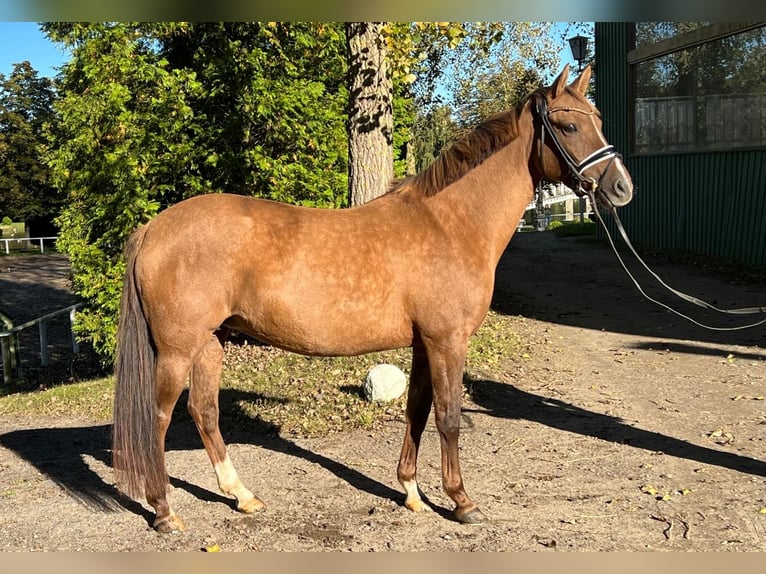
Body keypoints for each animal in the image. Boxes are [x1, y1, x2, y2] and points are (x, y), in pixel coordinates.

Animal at [111, 65, 632, 532]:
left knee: (204, 412)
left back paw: (242, 497)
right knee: (158, 418)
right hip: (177, 349)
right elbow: (448, 417)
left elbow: (417, 410)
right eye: (568, 126)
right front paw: (461, 502)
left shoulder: (424, 344)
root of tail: (153, 228)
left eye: (597, 120)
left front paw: (411, 492)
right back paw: (164, 512)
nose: (622, 186)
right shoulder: (448, 341)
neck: (450, 223)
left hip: (210, 343)